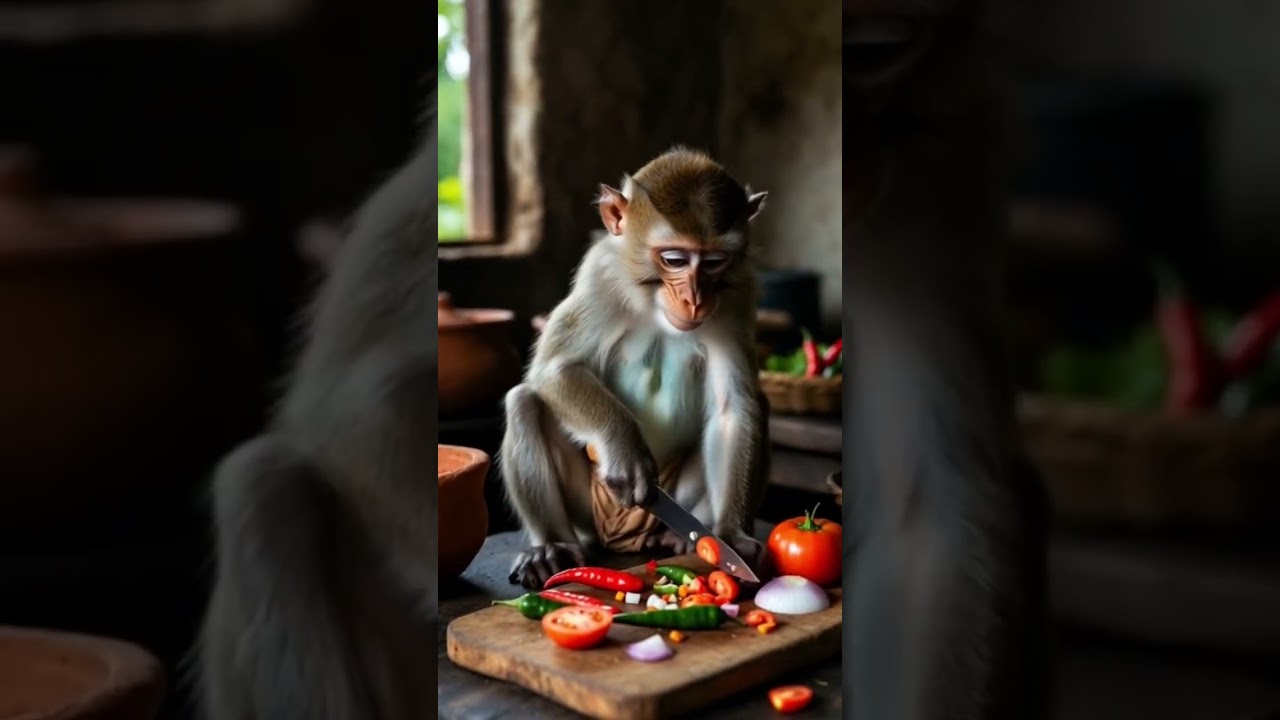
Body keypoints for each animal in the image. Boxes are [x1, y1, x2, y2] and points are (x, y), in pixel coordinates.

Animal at [500, 147, 771, 589]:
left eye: (715, 262)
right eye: (674, 259)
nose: (695, 300)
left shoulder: (738, 292)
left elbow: (732, 408)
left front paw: (732, 535)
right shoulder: (601, 275)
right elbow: (554, 369)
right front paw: (624, 448)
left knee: (757, 405)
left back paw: (678, 538)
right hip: (590, 509)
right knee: (527, 401)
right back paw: (551, 547)